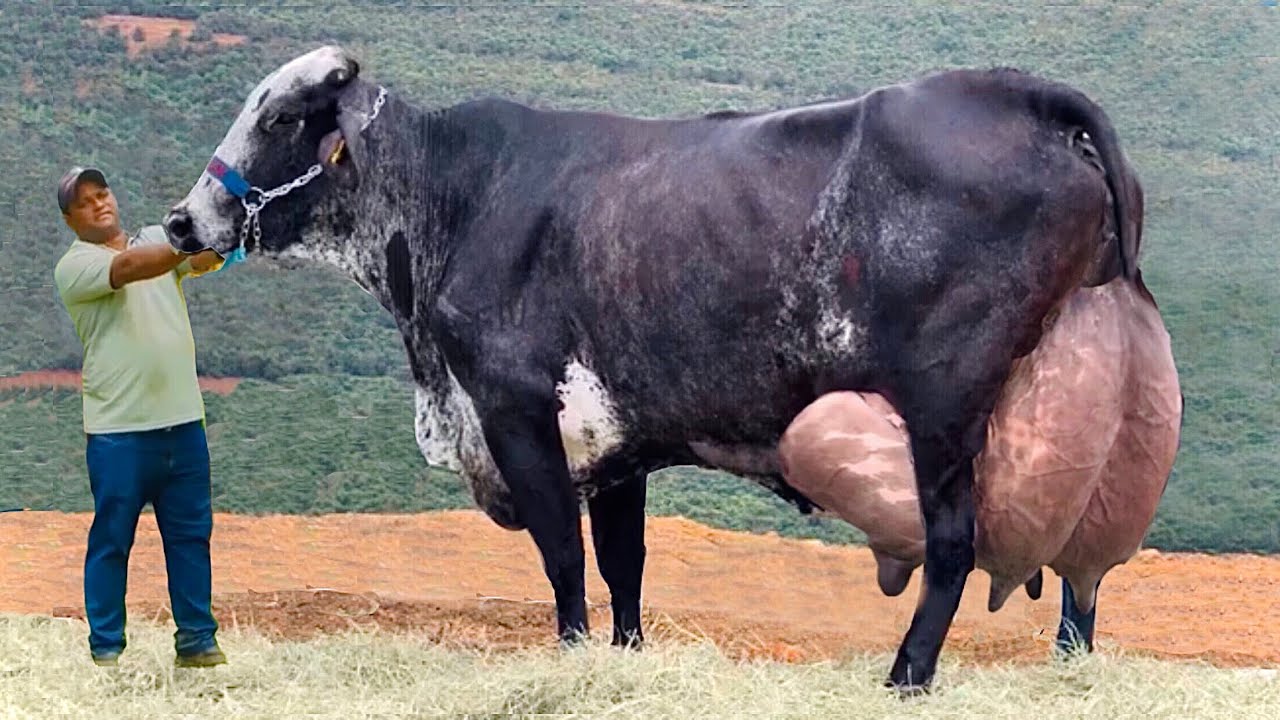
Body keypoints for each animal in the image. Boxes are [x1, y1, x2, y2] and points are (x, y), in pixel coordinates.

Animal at [161, 46, 1142, 692]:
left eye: (281, 117)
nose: (180, 220)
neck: (453, 197)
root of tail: (1013, 92)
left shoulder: (516, 407)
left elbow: (562, 553)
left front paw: (571, 657)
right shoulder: (616, 446)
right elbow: (622, 562)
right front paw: (623, 657)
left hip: (943, 409)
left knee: (953, 545)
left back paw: (906, 676)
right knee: (1080, 558)